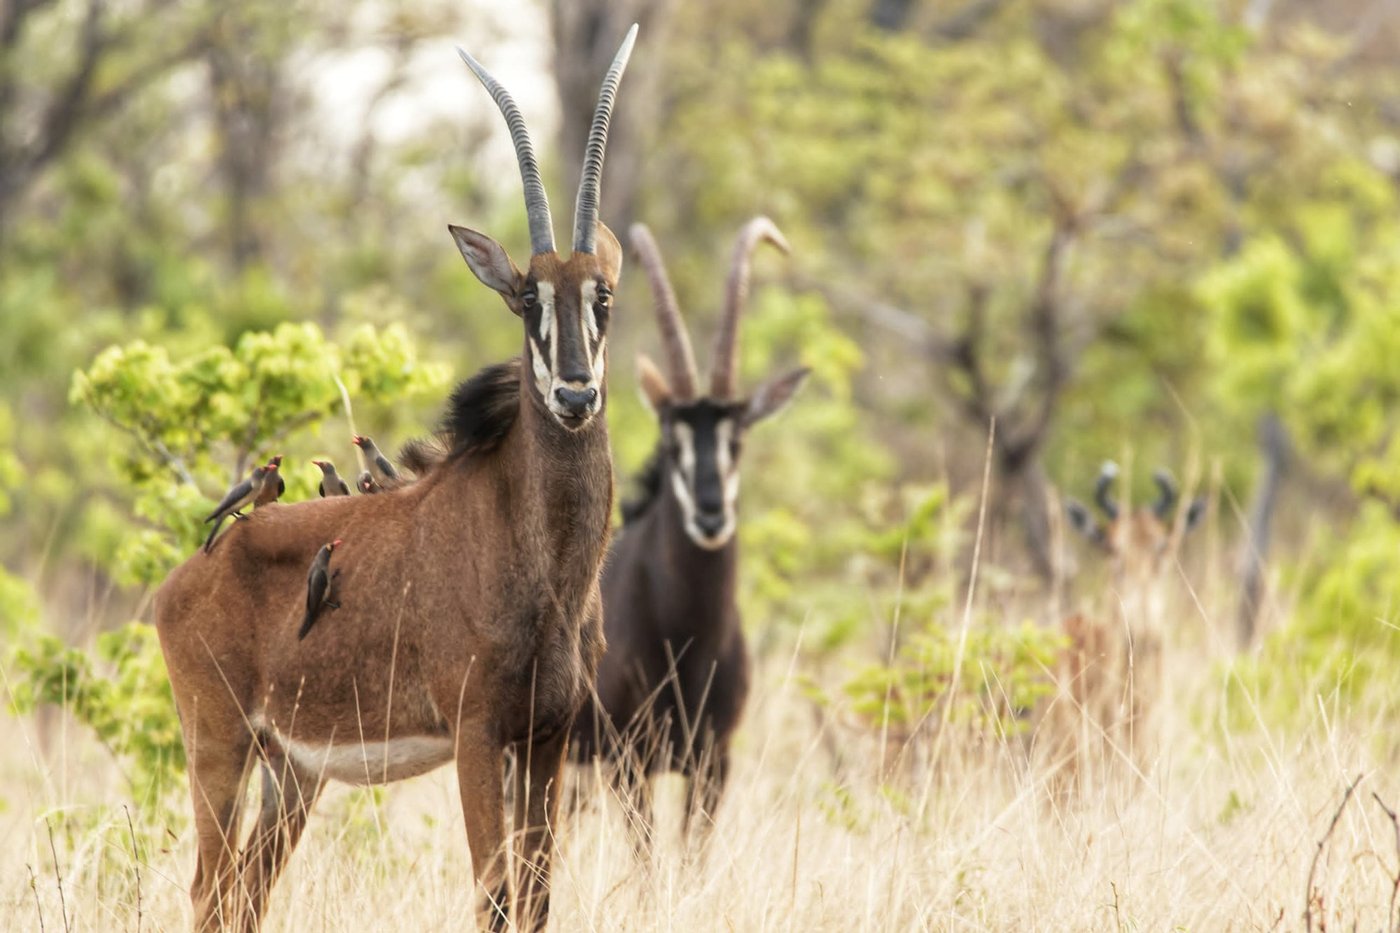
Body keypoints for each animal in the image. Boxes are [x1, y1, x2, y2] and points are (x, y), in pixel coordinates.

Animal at [151, 25, 637, 931]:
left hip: (293, 769)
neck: (541, 554)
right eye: (526, 299)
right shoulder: (478, 731)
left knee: (244, 892)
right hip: (220, 746)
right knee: (207, 888)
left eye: (605, 298)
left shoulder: (546, 736)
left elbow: (536, 898)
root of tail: (185, 576)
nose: (575, 394)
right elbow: (494, 895)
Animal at [571, 218, 808, 841]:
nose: (709, 514)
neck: (690, 637)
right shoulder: (629, 760)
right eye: (672, 440)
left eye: (737, 439)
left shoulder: (713, 762)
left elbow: (692, 852)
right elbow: (650, 855)